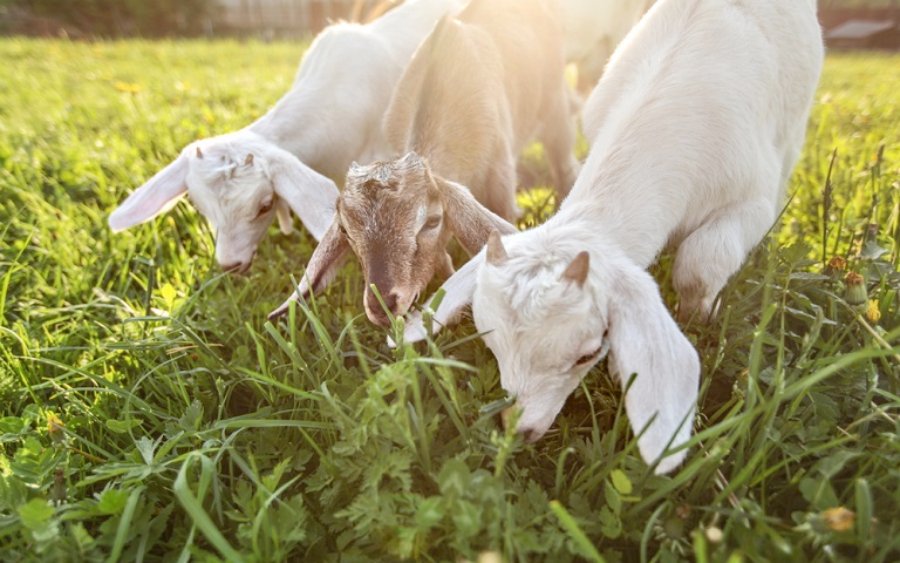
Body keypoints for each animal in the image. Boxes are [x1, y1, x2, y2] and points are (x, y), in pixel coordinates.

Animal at [400, 0, 824, 476]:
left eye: (588, 353)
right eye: (489, 340)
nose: (519, 429)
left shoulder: (753, 199)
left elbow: (700, 263)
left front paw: (702, 316)